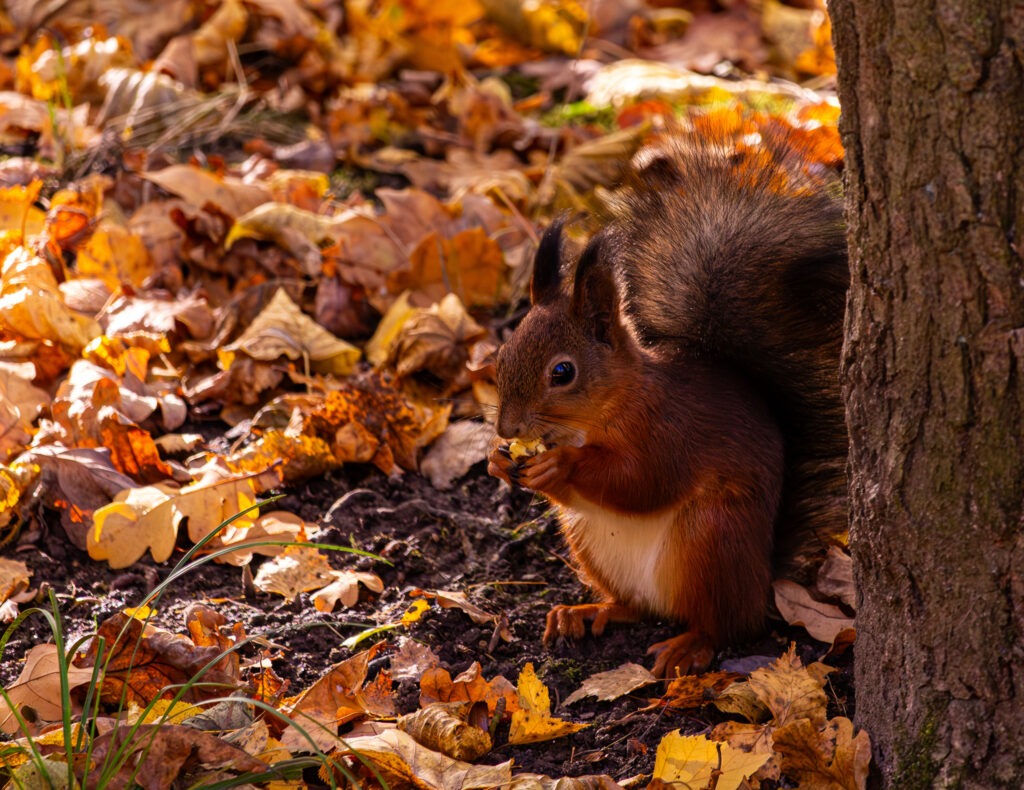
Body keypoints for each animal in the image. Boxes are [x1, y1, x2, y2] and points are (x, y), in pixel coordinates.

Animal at [487, 132, 849, 676]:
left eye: (562, 373)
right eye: (502, 354)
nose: (507, 429)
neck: (611, 406)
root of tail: (762, 580)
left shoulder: (670, 430)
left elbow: (642, 482)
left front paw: (560, 465)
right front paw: (496, 462)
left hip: (712, 539)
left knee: (728, 626)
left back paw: (689, 644)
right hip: (590, 543)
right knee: (635, 608)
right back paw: (586, 611)